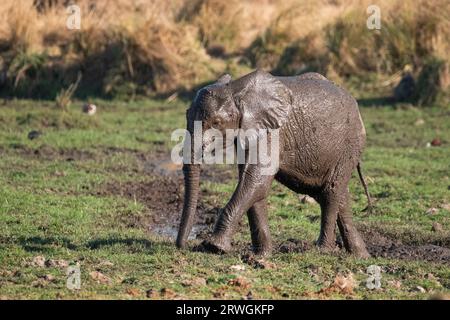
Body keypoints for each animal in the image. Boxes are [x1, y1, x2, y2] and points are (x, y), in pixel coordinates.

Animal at [177, 69, 372, 258]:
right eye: (186, 114)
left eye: (216, 123)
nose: (181, 246)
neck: (236, 90)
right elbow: (254, 185)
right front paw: (261, 255)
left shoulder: (273, 131)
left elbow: (257, 182)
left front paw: (214, 247)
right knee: (339, 196)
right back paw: (360, 255)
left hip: (350, 144)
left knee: (331, 192)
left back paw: (323, 250)